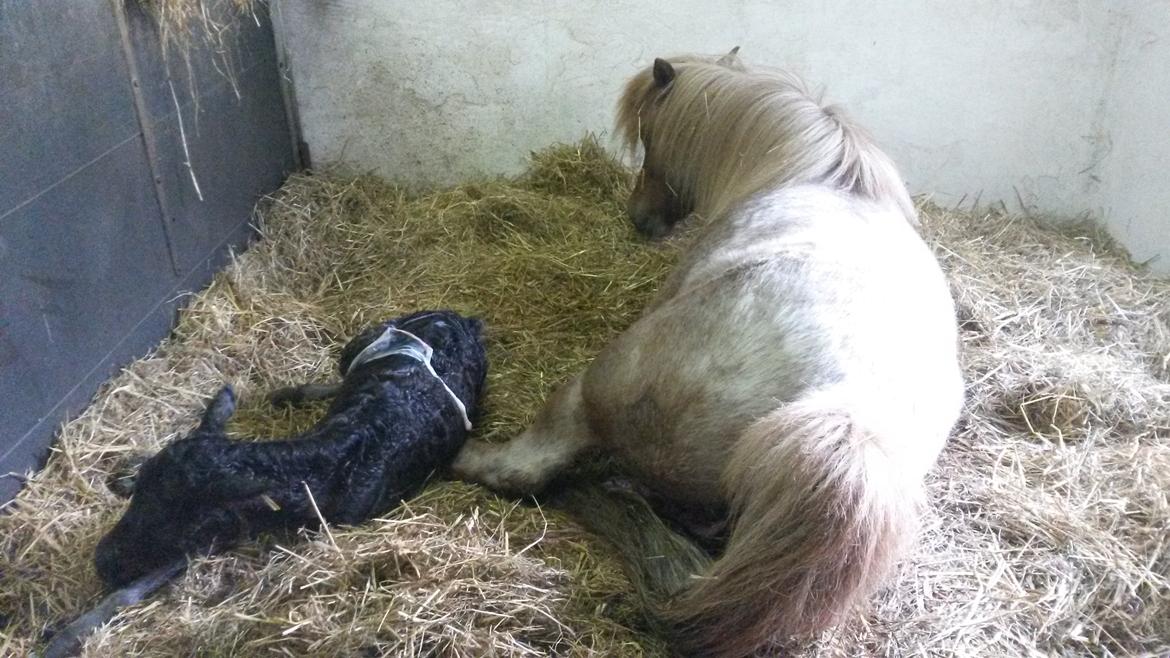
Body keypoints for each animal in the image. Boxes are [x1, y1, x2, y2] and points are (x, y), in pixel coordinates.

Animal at [451, 48, 964, 650]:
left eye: (651, 139)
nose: (640, 218)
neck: (824, 176)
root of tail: (848, 422)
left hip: (592, 389)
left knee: (525, 470)